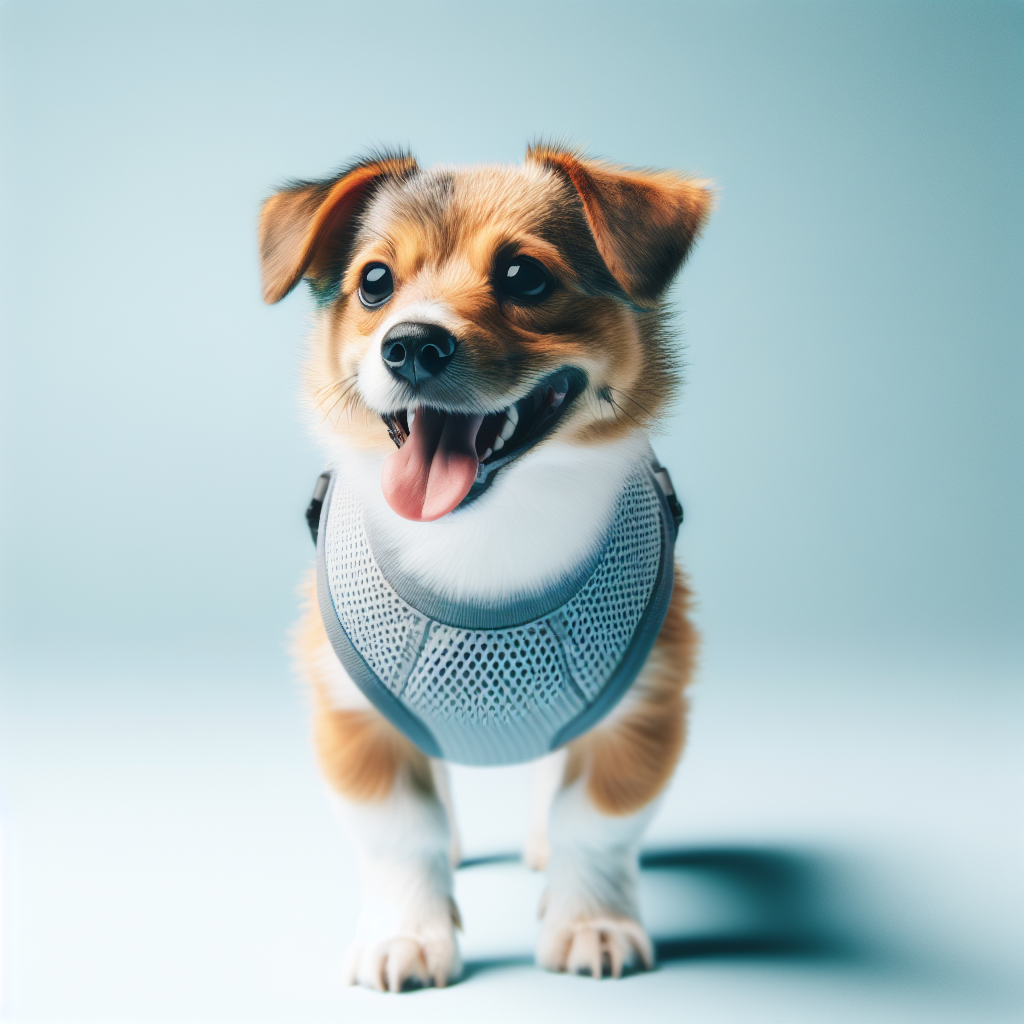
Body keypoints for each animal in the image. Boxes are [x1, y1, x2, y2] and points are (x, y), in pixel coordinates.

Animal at [258, 146, 712, 991]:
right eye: (375, 282)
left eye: (524, 276)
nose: (411, 342)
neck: (483, 539)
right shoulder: (353, 717)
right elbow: (406, 831)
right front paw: (407, 936)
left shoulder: (644, 705)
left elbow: (593, 822)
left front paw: (591, 924)